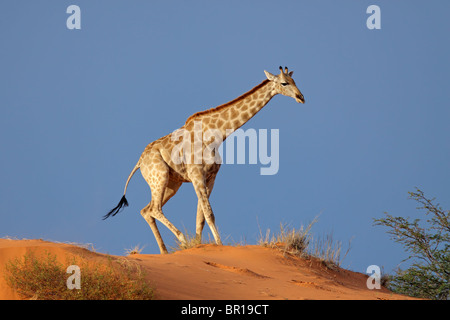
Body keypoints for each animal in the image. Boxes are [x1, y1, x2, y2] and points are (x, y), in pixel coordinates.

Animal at [103, 66, 304, 254]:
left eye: (294, 80)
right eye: (284, 83)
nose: (301, 97)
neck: (216, 134)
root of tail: (139, 162)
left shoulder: (211, 177)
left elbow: (201, 217)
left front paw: (199, 246)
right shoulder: (196, 174)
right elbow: (209, 213)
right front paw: (218, 245)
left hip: (172, 183)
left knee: (146, 210)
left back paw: (164, 252)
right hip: (159, 176)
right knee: (154, 209)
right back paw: (181, 240)